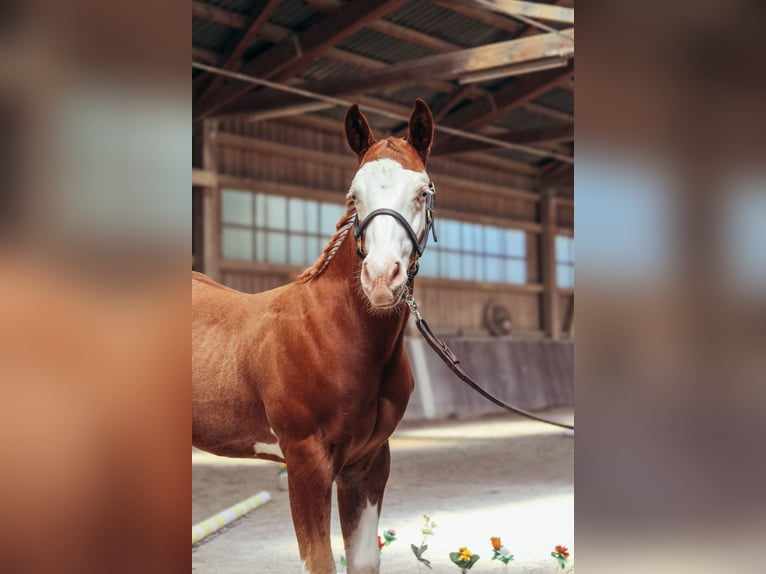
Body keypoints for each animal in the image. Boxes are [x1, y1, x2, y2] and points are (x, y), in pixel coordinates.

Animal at [192, 99, 435, 574]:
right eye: (354, 195)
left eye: (423, 191)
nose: (382, 279)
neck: (337, 331)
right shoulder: (306, 461)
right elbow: (319, 561)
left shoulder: (368, 463)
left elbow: (363, 560)